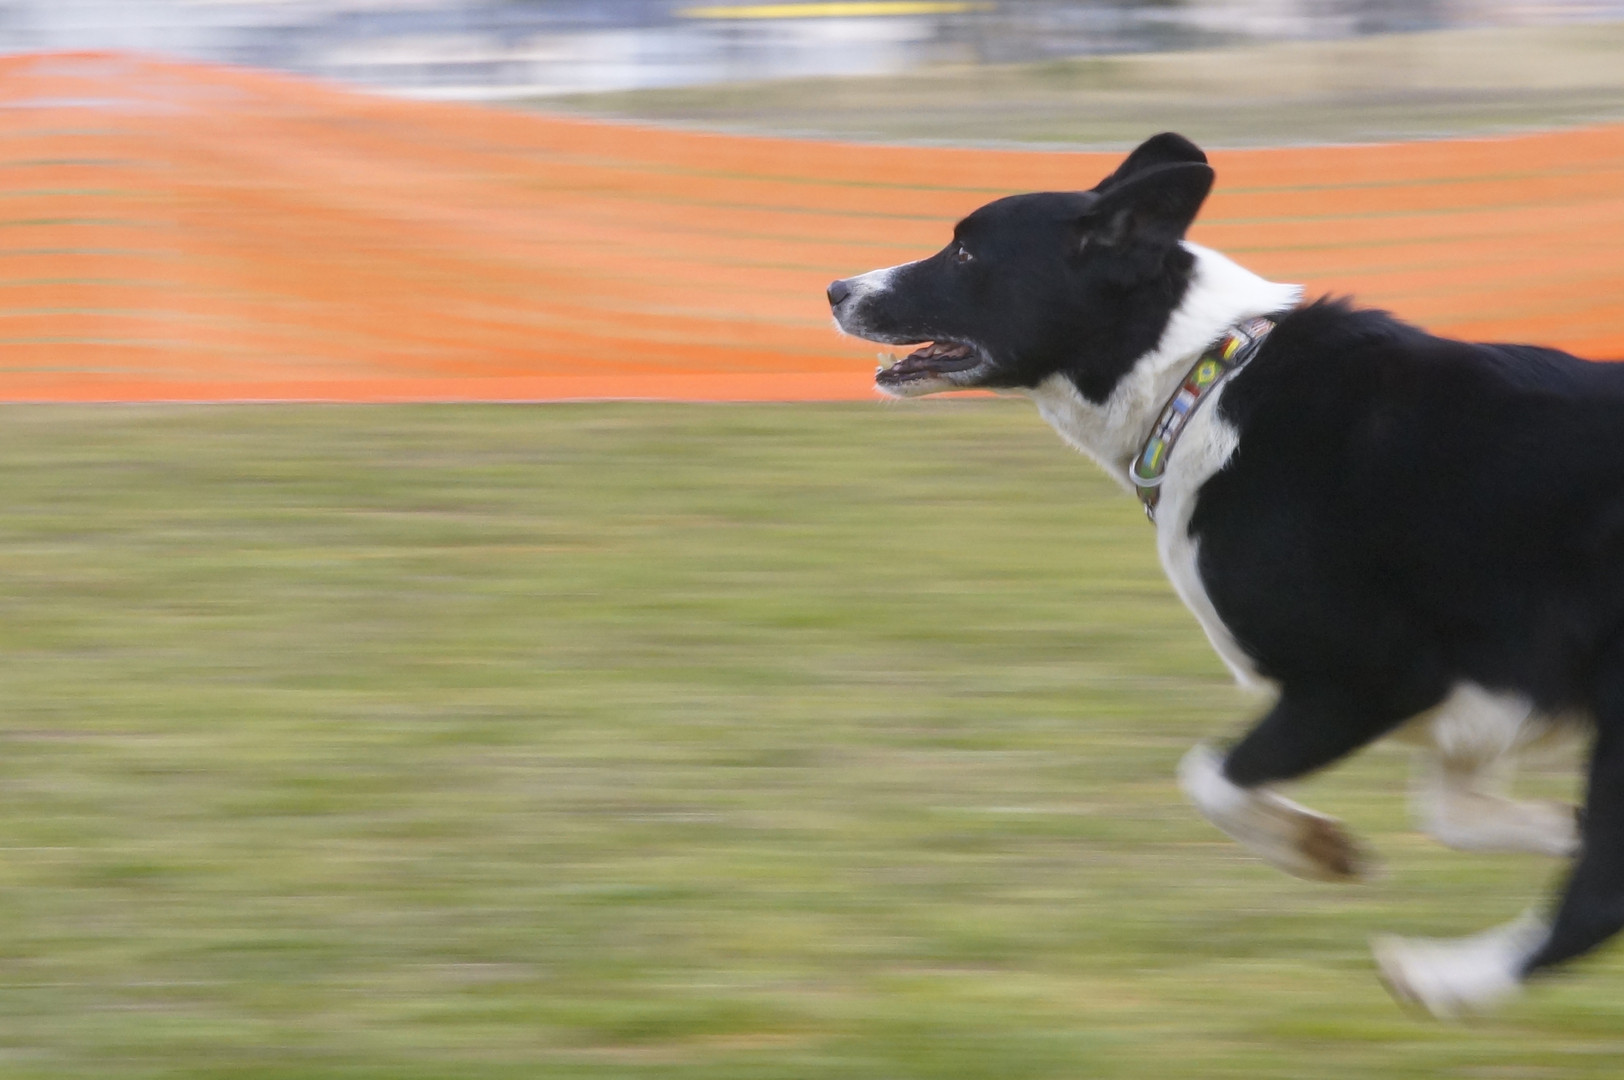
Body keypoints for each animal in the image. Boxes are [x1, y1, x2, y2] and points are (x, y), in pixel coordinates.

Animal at [825, 132, 1624, 1018]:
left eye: (966, 250)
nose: (835, 289)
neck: (1198, 384)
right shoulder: (1485, 694)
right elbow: (1458, 810)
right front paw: (1555, 825)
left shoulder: (1372, 676)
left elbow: (1210, 777)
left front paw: (1317, 847)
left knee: (1596, 898)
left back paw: (1441, 979)